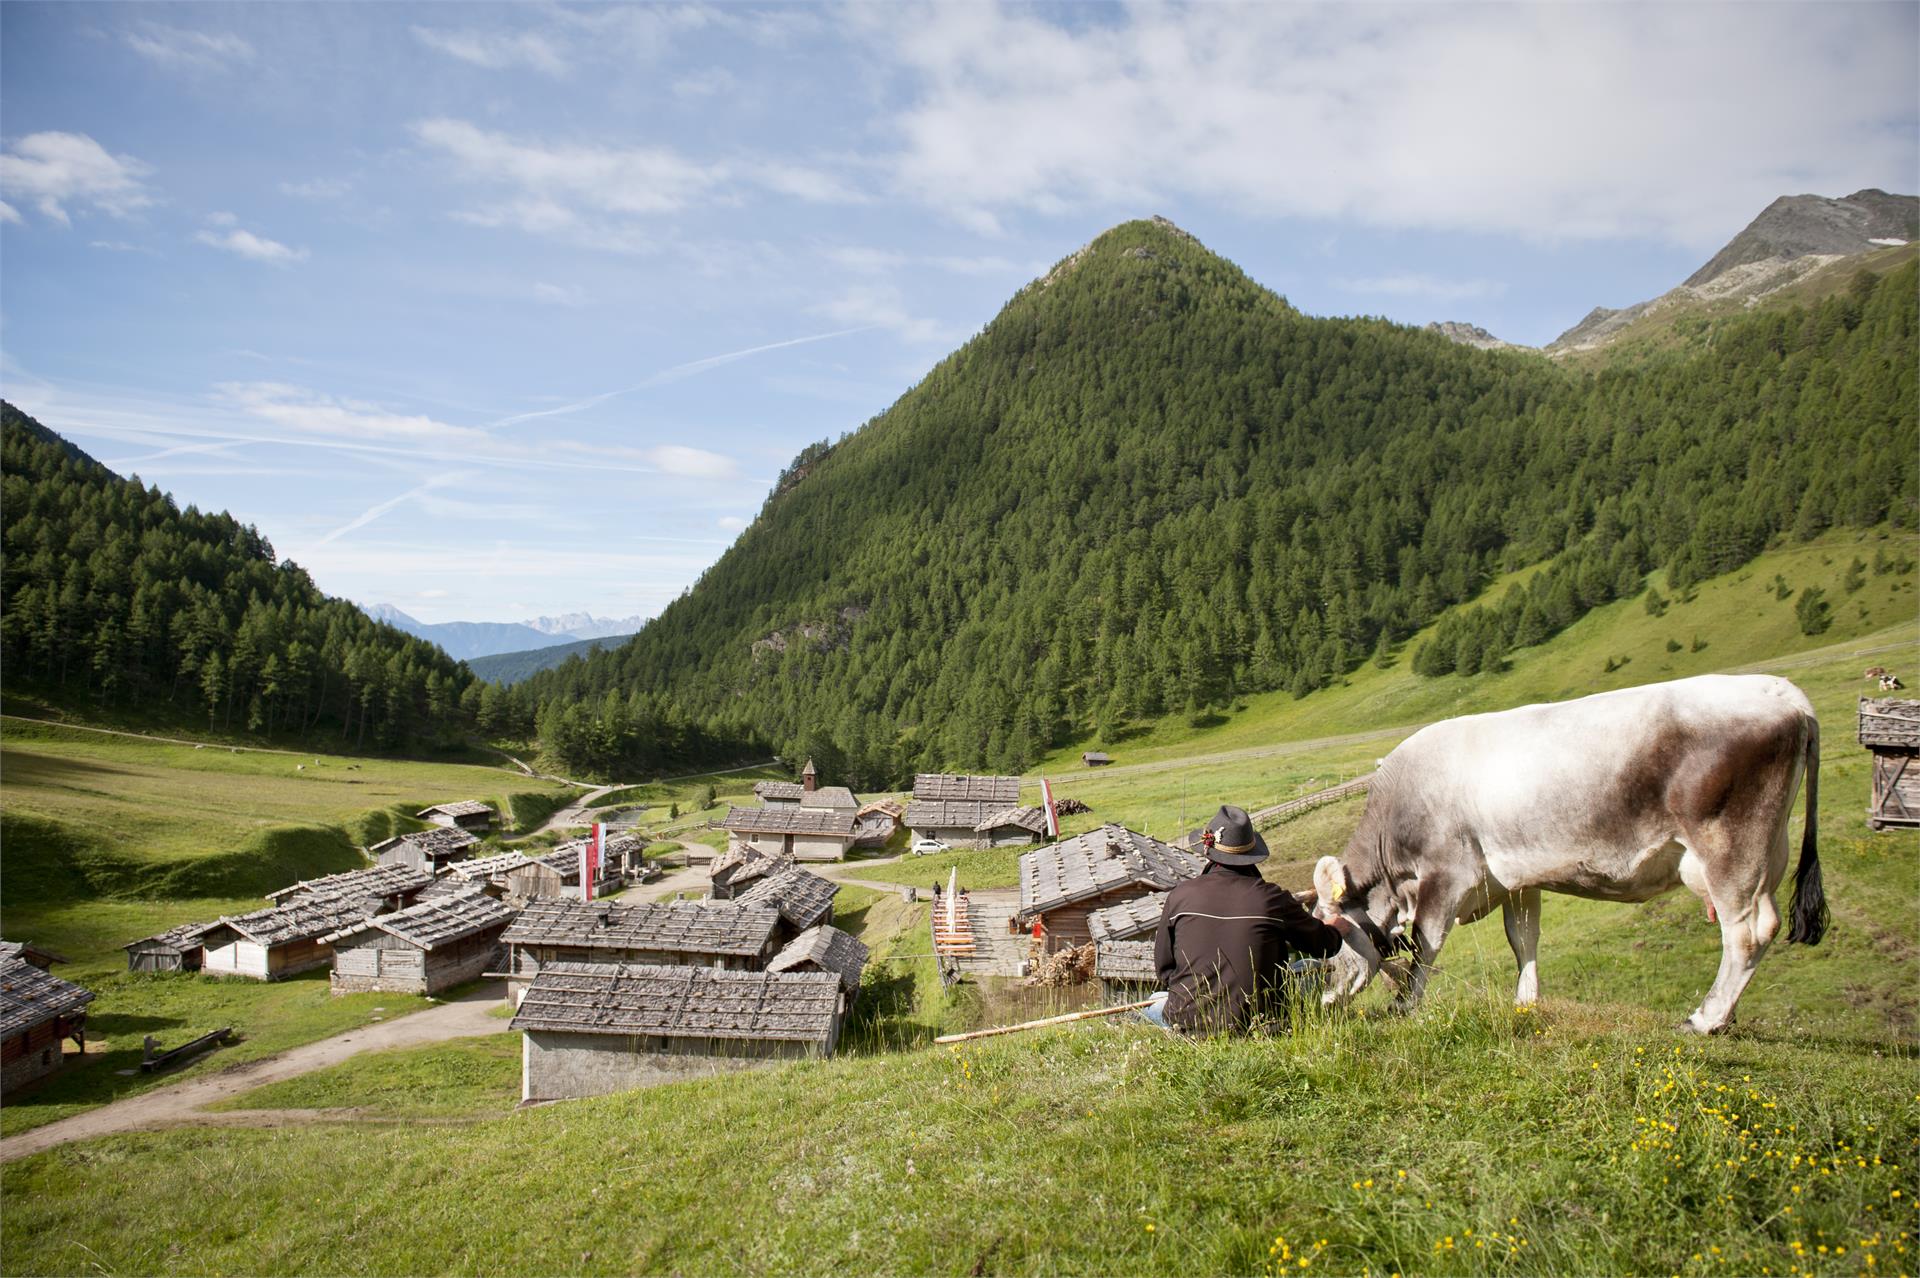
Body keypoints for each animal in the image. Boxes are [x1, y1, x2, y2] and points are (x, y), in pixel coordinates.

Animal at [1328, 671, 1820, 1028]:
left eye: (1322, 951)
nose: (1315, 1009)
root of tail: (1784, 692)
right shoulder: (1514, 879)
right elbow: (1523, 938)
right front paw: (1526, 1001)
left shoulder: (1446, 876)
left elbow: (1425, 946)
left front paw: (1404, 1005)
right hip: (1771, 851)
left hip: (1730, 848)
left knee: (1747, 931)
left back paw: (1707, 1018)